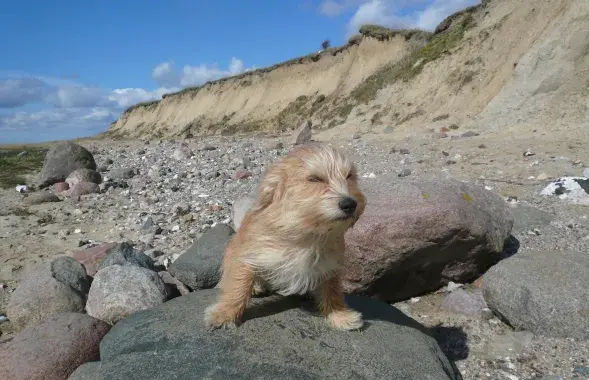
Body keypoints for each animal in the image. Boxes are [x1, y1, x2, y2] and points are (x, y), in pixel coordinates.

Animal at [204, 142, 366, 330]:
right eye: (315, 179)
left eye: (349, 176)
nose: (350, 204)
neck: (306, 232)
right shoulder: (248, 255)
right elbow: (239, 285)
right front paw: (225, 313)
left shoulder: (330, 265)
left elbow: (332, 290)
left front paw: (339, 314)